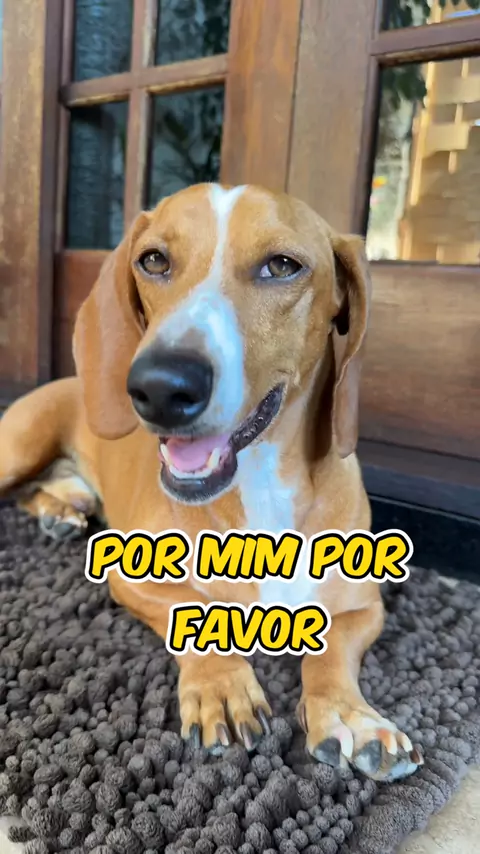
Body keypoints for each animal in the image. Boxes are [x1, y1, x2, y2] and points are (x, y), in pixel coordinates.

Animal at [0, 183, 422, 781]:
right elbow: (197, 615)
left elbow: (332, 649)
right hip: (19, 448)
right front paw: (223, 686)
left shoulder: (364, 607)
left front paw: (350, 714)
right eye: (154, 260)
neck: (262, 484)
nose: (158, 387)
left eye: (282, 266)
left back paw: (61, 506)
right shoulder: (133, 581)